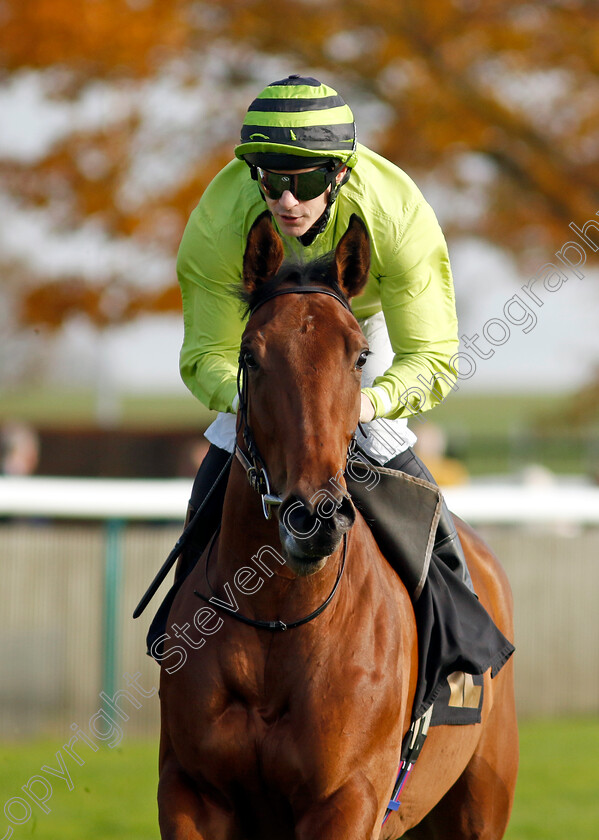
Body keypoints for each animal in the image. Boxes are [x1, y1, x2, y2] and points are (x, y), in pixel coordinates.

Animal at [157, 213, 516, 836]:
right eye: (250, 356)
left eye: (361, 356)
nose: (314, 515)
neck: (277, 617)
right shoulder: (189, 791)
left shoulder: (348, 798)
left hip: (478, 804)